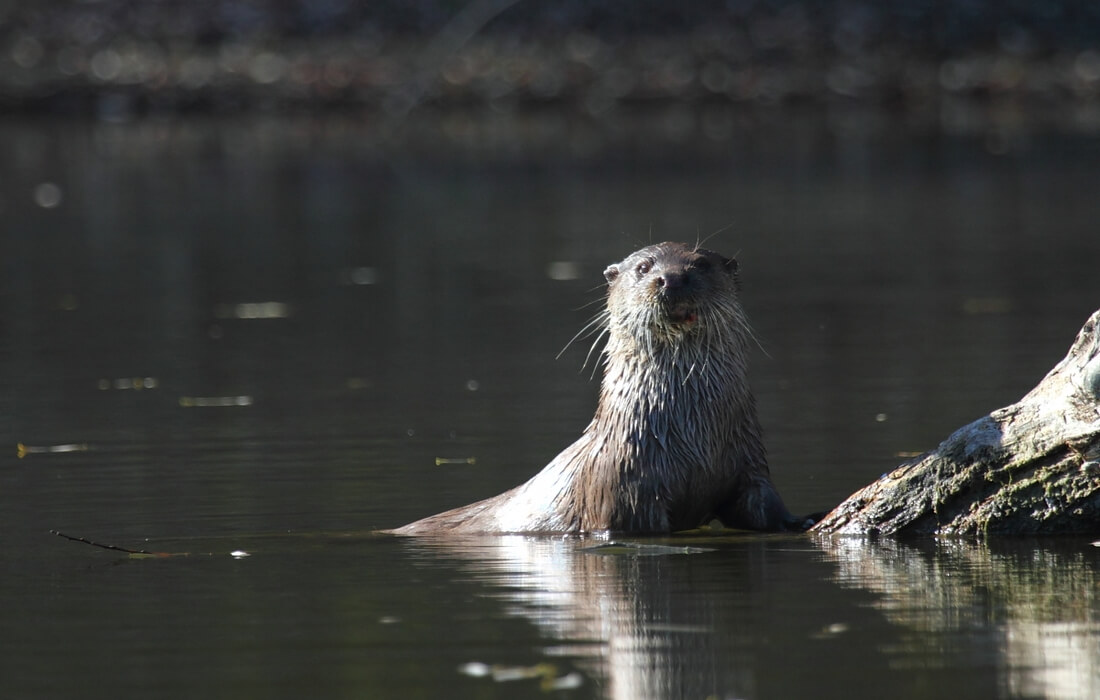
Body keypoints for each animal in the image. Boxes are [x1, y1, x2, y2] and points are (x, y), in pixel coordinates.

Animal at [392, 241, 806, 535]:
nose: (671, 278)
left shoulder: (748, 463)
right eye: (644, 268)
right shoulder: (627, 494)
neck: (692, 435)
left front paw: (797, 521)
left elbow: (761, 508)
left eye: (701, 265)